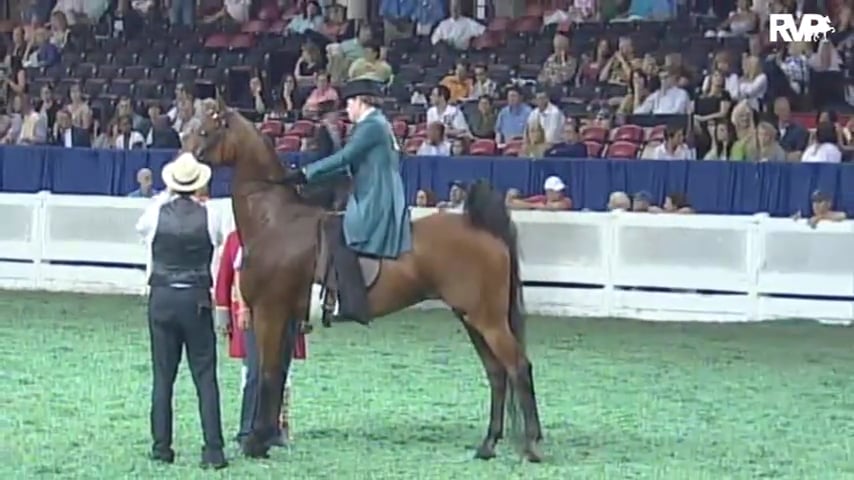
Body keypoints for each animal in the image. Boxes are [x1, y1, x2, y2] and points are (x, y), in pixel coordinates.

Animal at [185, 103, 544, 462]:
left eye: (204, 131)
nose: (184, 165)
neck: (274, 220)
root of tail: (479, 225)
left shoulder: (270, 313)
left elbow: (269, 374)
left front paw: (256, 443)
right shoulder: (285, 318)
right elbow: (279, 374)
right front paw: (267, 438)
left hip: (488, 320)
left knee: (518, 367)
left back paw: (531, 446)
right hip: (472, 318)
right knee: (496, 372)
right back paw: (488, 444)